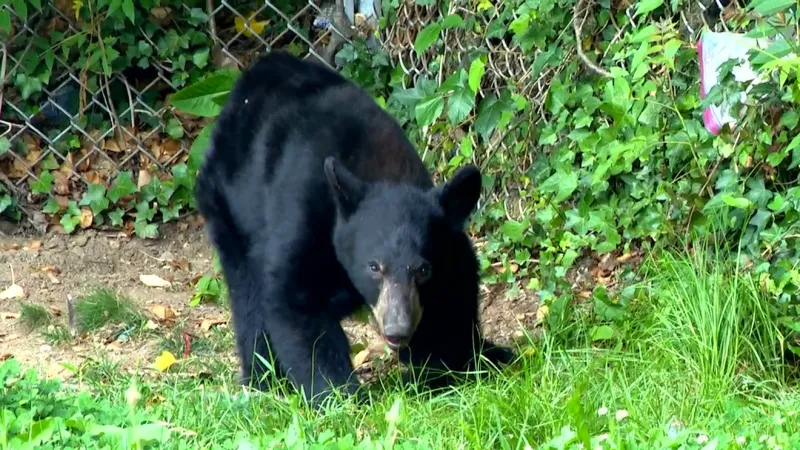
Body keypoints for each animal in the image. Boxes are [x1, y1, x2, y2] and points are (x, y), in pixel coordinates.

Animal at [193, 51, 516, 407]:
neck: (380, 169)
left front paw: (467, 361)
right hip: (227, 208)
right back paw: (264, 379)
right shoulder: (304, 214)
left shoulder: (448, 248)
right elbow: (295, 300)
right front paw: (340, 395)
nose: (397, 330)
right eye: (374, 266)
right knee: (247, 295)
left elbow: (454, 297)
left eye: (423, 270)